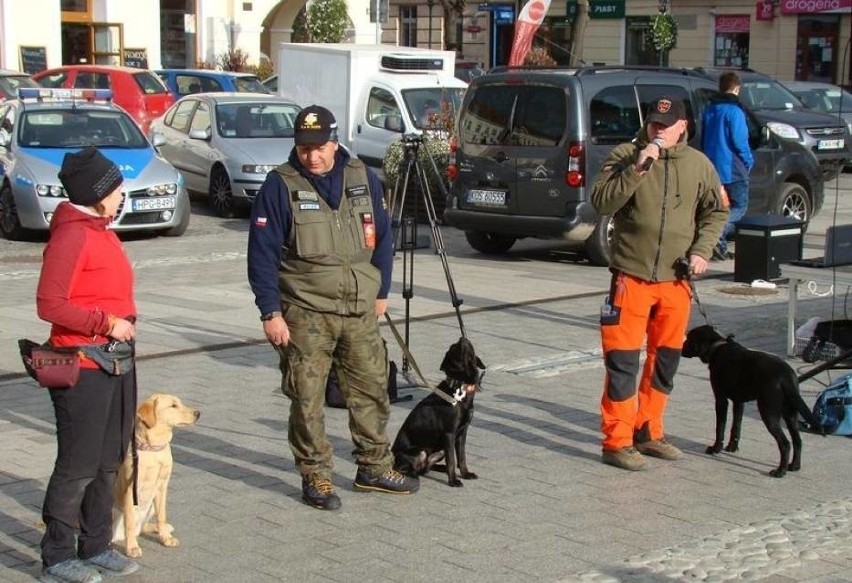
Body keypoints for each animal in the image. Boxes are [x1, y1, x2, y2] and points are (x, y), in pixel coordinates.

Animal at [112, 394, 201, 560]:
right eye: (173, 405)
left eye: (179, 403)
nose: (198, 413)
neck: (153, 449)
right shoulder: (130, 488)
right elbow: (129, 522)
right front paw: (132, 547)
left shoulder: (162, 486)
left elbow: (162, 516)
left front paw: (165, 538)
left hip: (151, 506)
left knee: (144, 526)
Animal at [390, 338, 482, 488]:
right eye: (454, 347)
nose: (462, 338)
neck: (460, 387)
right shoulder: (449, 434)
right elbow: (452, 460)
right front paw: (453, 480)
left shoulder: (462, 433)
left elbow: (461, 457)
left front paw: (465, 473)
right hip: (420, 451)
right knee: (406, 469)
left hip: (439, 452)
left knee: (426, 467)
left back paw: (440, 468)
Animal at [680, 324, 824, 480]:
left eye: (689, 338)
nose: (680, 348)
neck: (717, 347)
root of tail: (786, 376)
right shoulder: (739, 402)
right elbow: (736, 427)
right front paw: (732, 448)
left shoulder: (721, 399)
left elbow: (720, 427)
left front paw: (715, 448)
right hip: (790, 413)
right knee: (797, 440)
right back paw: (794, 466)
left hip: (768, 412)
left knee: (785, 443)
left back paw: (780, 471)